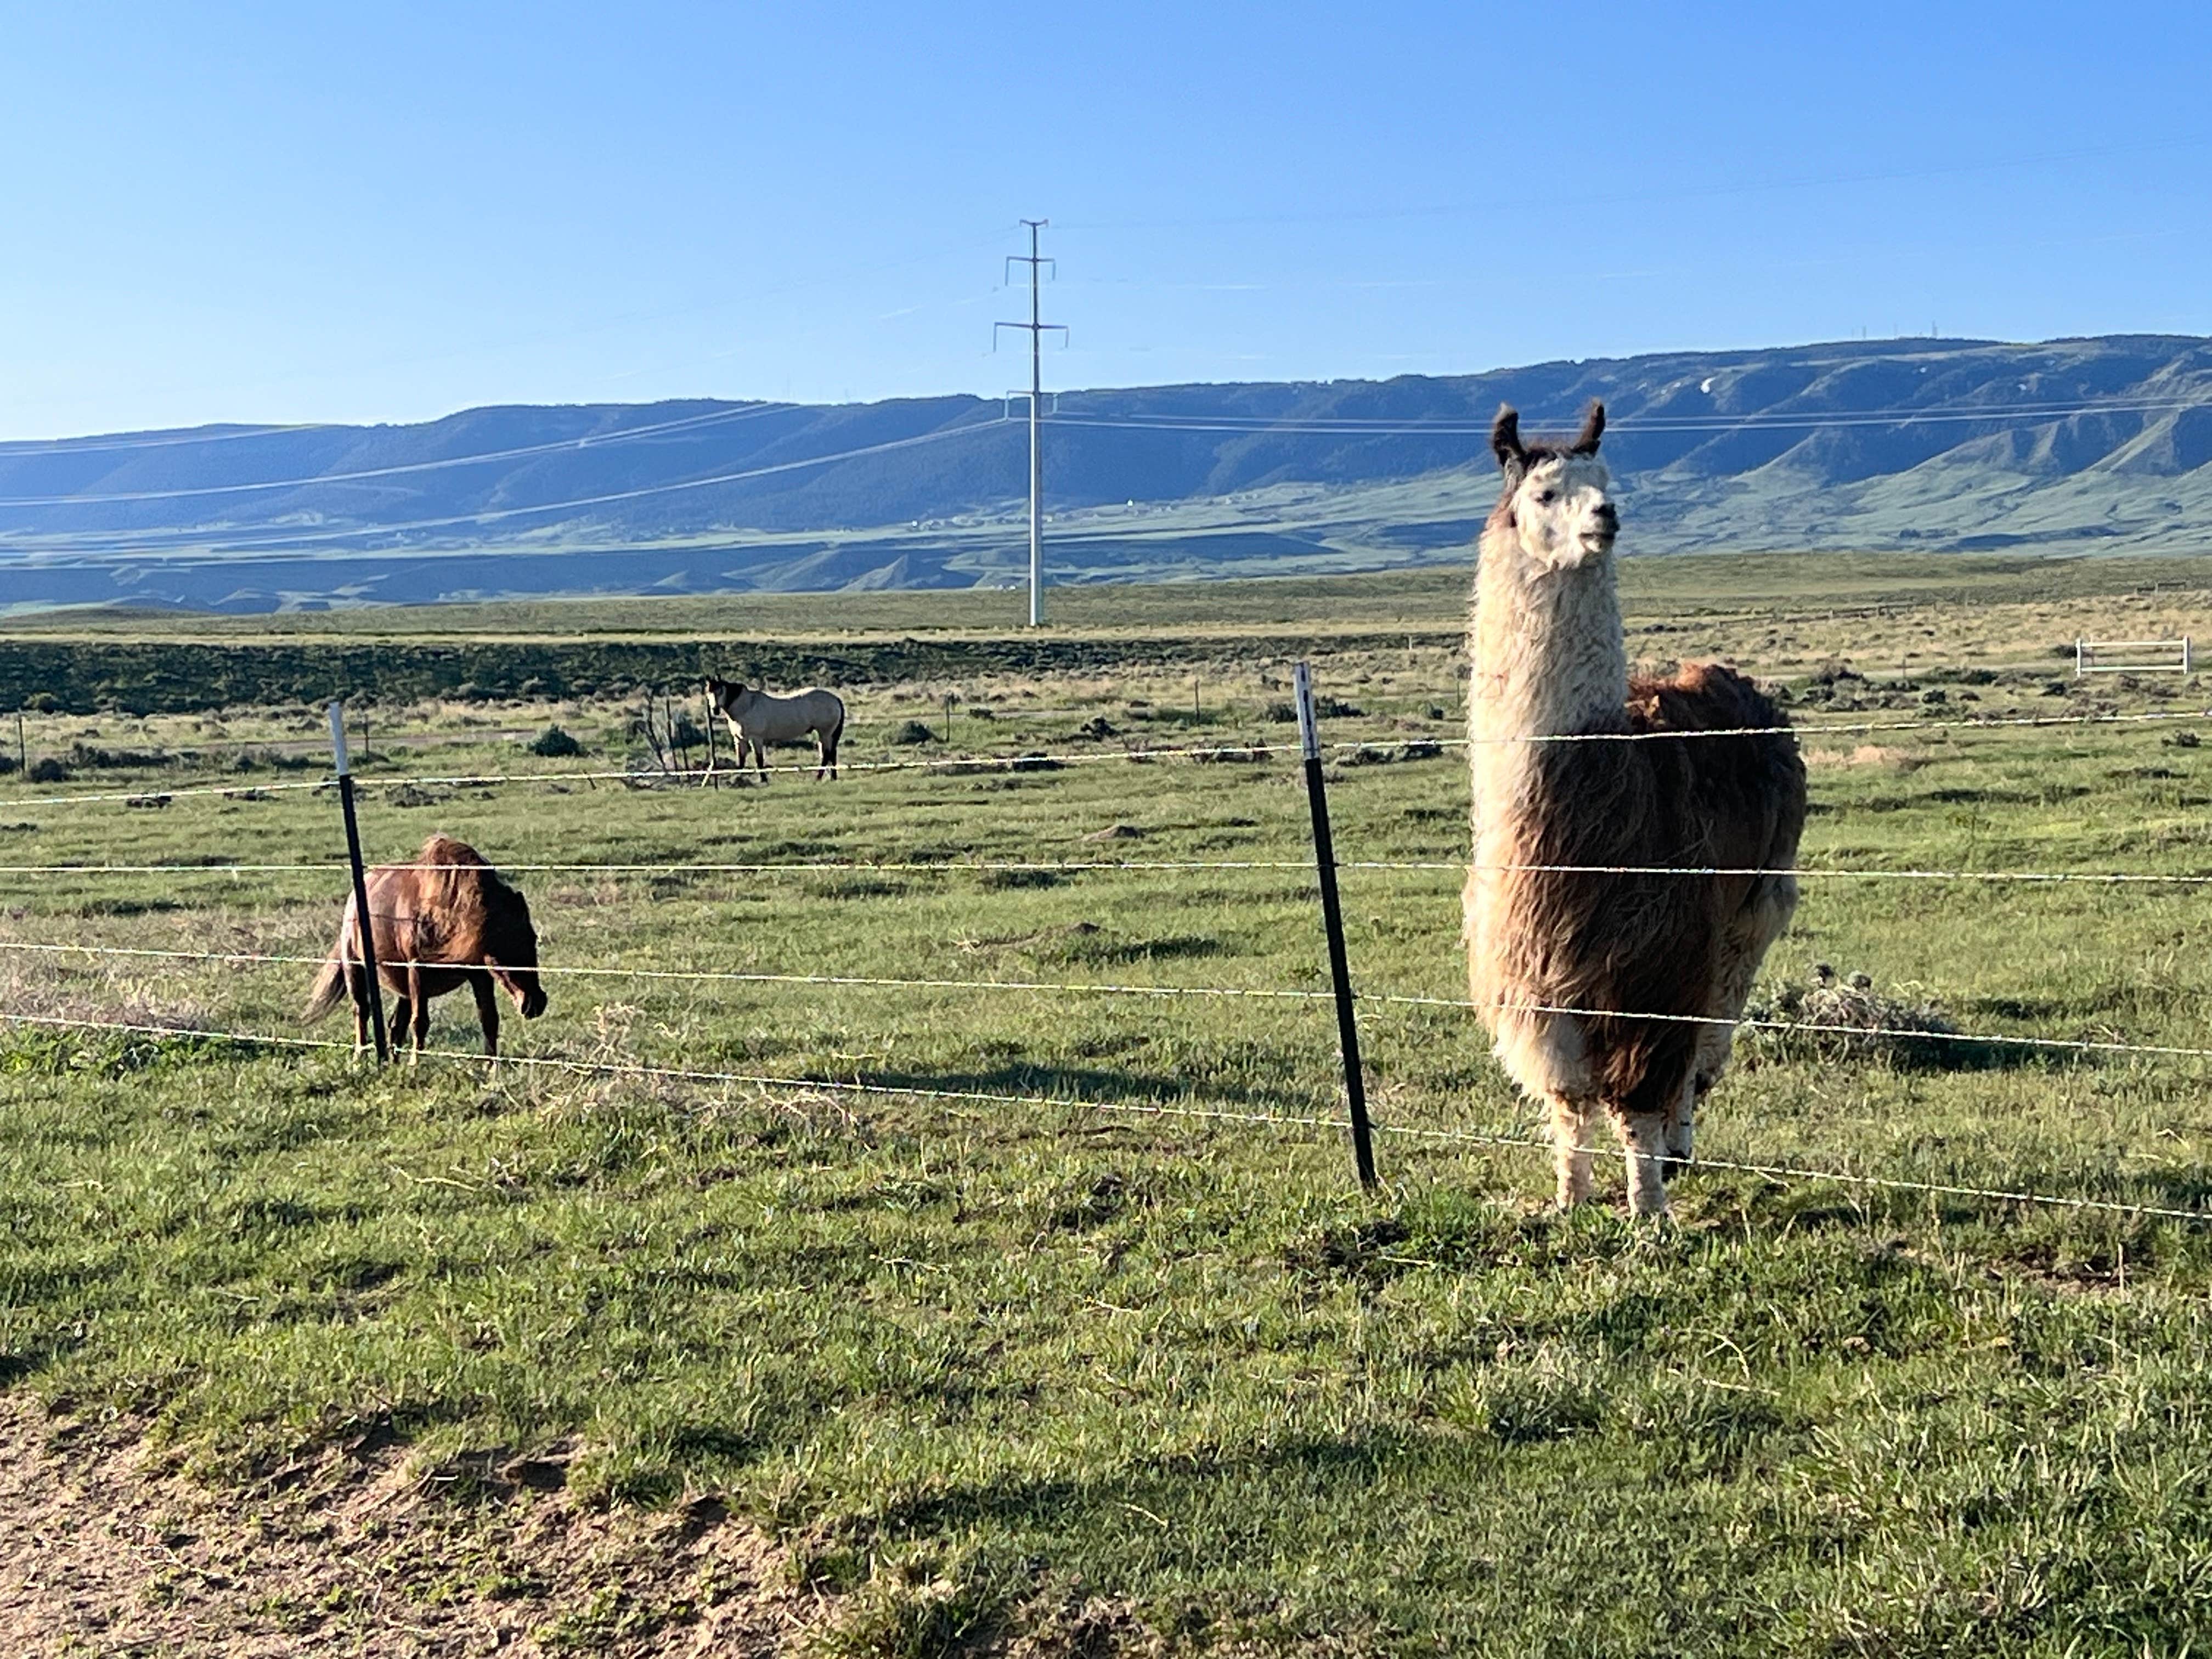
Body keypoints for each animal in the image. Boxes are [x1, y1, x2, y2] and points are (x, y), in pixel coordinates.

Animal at [305, 836, 546, 1057]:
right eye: (498, 951)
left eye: (532, 939)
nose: (534, 1003)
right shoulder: (418, 971)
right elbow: (420, 1023)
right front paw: (415, 1067)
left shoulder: (479, 974)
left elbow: (489, 1020)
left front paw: (491, 1071)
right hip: (356, 969)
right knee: (362, 1012)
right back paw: (359, 1060)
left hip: (402, 987)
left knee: (395, 1027)